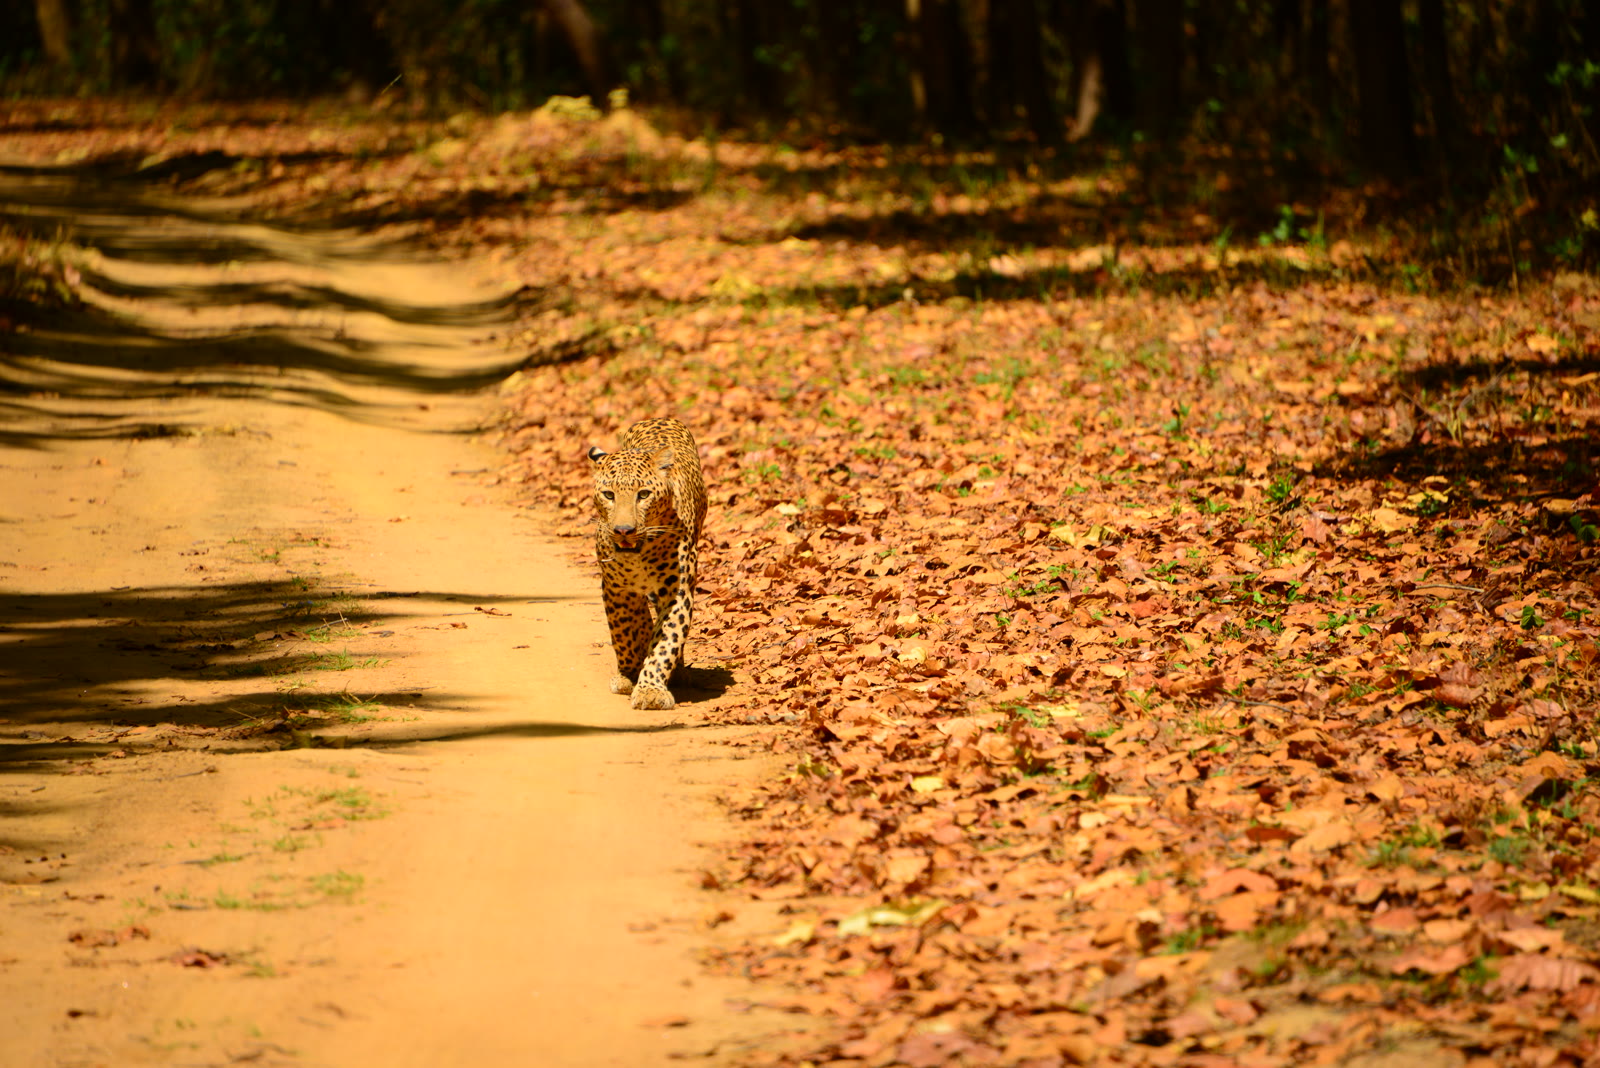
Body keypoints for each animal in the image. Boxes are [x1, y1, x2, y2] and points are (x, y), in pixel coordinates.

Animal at [586, 418, 707, 710]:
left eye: (643, 495)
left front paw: (650, 689)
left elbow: (666, 640)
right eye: (609, 495)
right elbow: (625, 631)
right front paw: (629, 674)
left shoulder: (676, 592)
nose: (624, 530)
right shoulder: (616, 589)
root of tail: (659, 418)